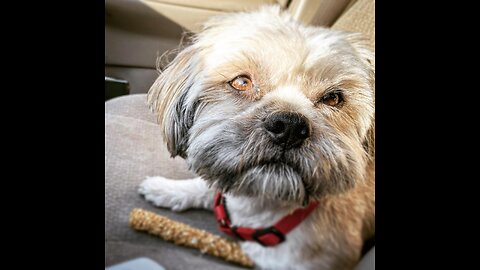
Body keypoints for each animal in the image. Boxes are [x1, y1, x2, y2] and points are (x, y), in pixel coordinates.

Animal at [139, 5, 376, 270]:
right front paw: (166, 189)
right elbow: (206, 189)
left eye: (333, 98)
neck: (261, 207)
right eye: (242, 82)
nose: (289, 126)